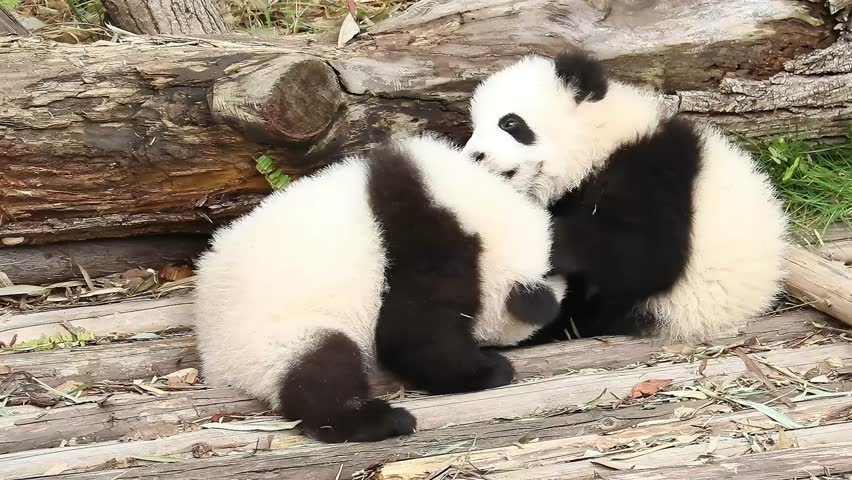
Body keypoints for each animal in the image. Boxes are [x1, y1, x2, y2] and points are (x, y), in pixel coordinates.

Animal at [193, 134, 564, 443]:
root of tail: (213, 361)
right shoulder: (429, 250)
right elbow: (412, 337)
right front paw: (489, 369)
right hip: (271, 334)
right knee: (322, 370)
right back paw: (382, 420)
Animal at [461, 50, 788, 344]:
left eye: (510, 123)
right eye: (474, 128)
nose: (475, 155)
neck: (599, 141)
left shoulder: (652, 174)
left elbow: (646, 253)